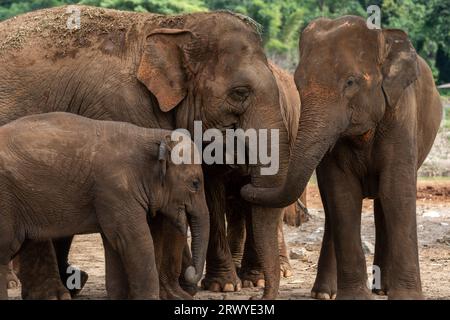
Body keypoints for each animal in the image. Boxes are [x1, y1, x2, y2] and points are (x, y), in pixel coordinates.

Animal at [0, 112, 210, 300]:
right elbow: (134, 240)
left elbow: (115, 243)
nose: (190, 272)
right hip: (5, 202)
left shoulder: (111, 197)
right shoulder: (115, 189)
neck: (153, 136)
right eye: (195, 184)